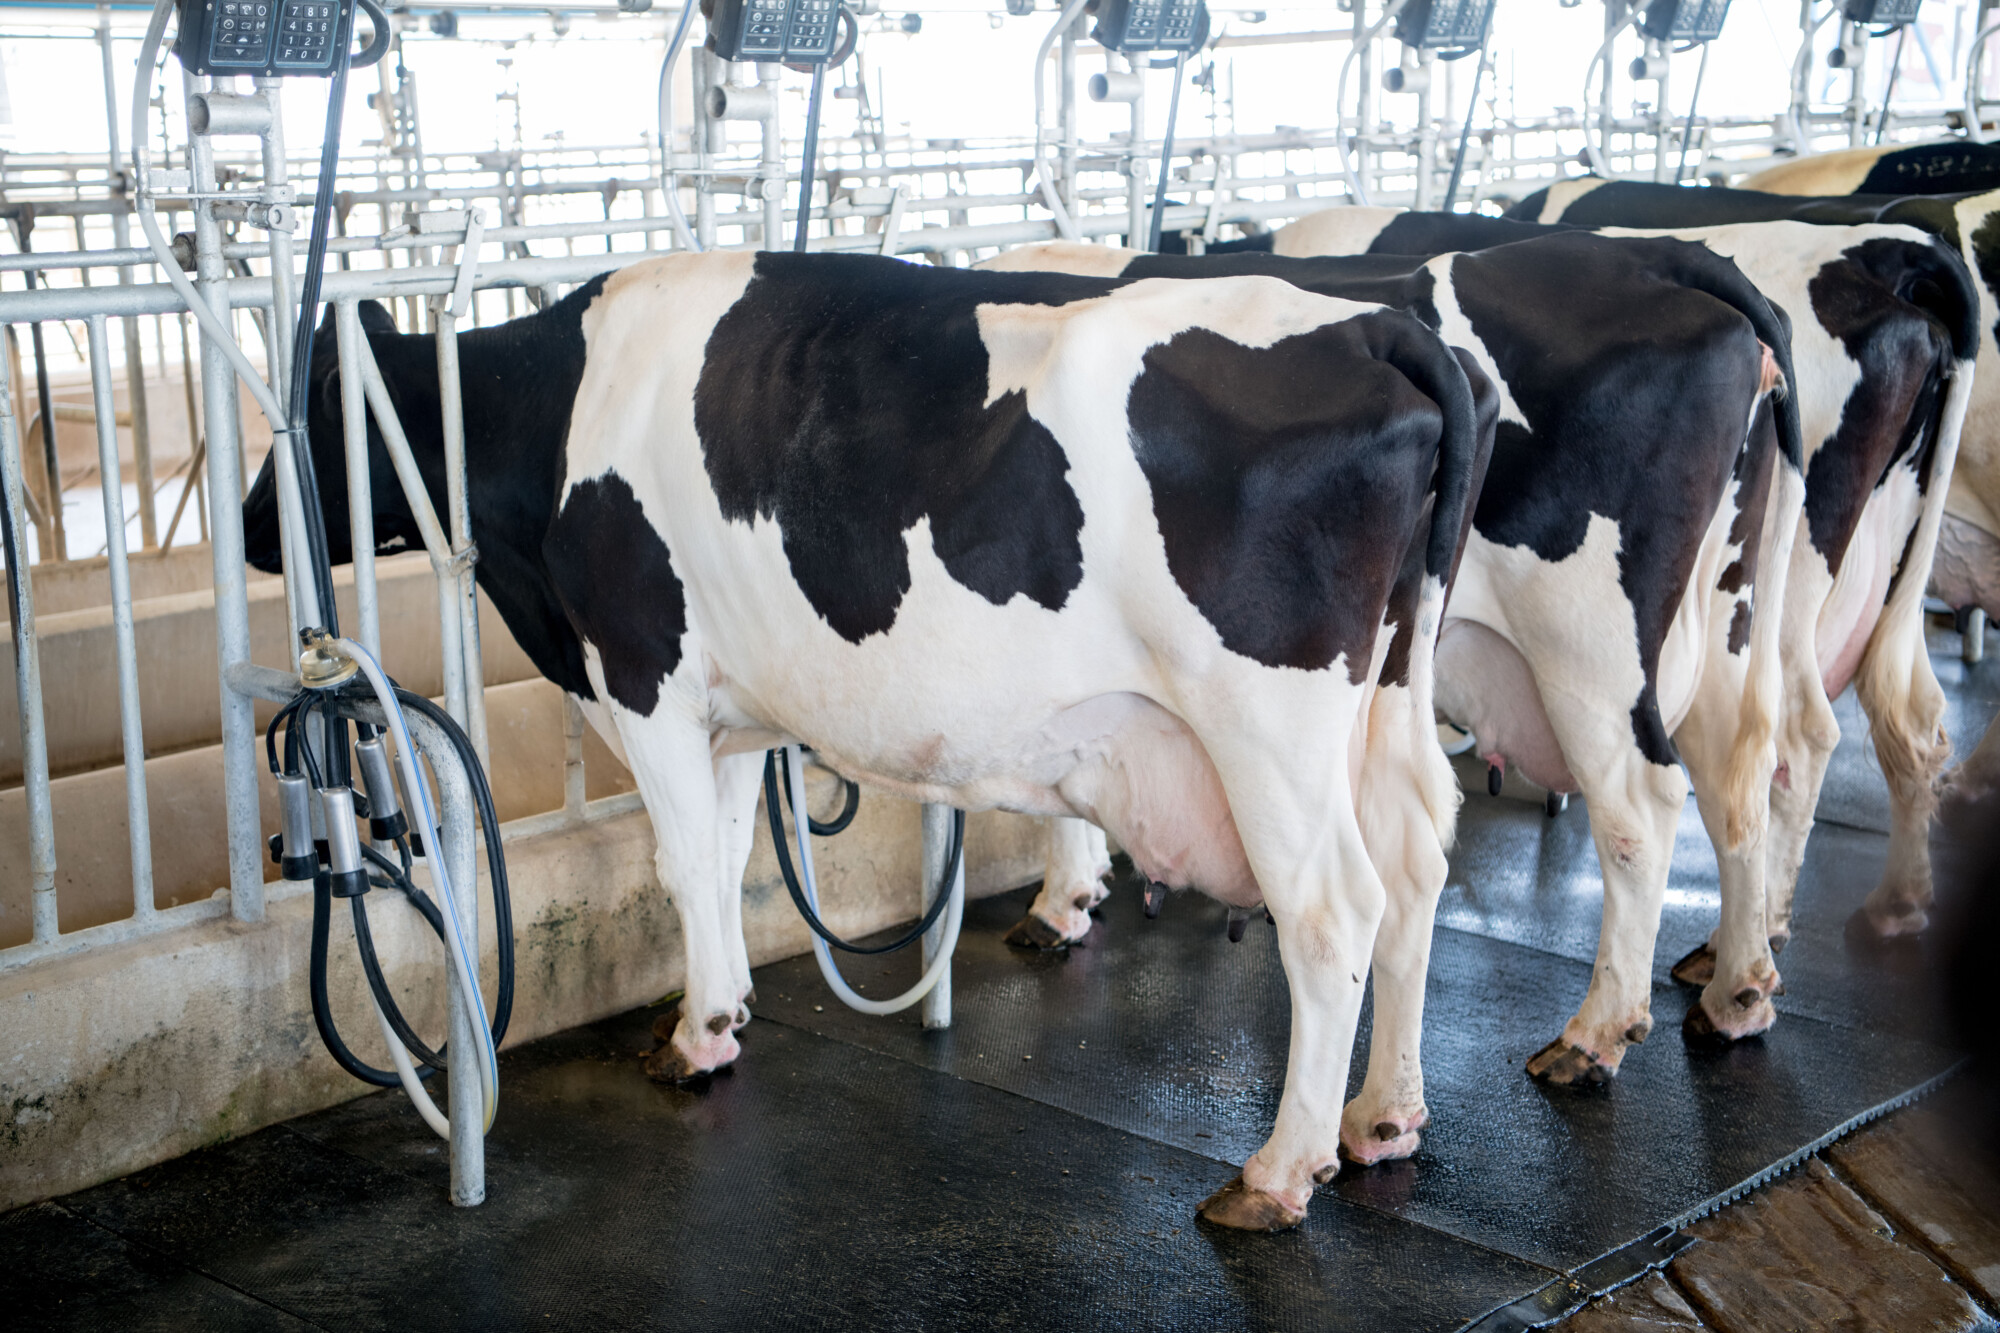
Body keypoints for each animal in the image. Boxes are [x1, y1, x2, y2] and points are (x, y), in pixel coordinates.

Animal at [246, 246, 1504, 1224]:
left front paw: (695, 1037)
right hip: (1389, 693)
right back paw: (1382, 1116)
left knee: (1333, 908)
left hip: (1265, 723)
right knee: (1415, 860)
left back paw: (1278, 1170)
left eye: (301, 417)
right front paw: (726, 1009)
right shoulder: (727, 705)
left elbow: (680, 860)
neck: (553, 409)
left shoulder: (642, 674)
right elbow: (724, 853)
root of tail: (1374, 328)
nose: (257, 529)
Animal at [976, 233, 1808, 1088]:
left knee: (1643, 807)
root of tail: (1662, 256)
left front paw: (1060, 899)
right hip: (1725, 608)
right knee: (1739, 766)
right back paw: (1737, 989)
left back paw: (1595, 1033)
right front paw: (1074, 891)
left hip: (1590, 649)